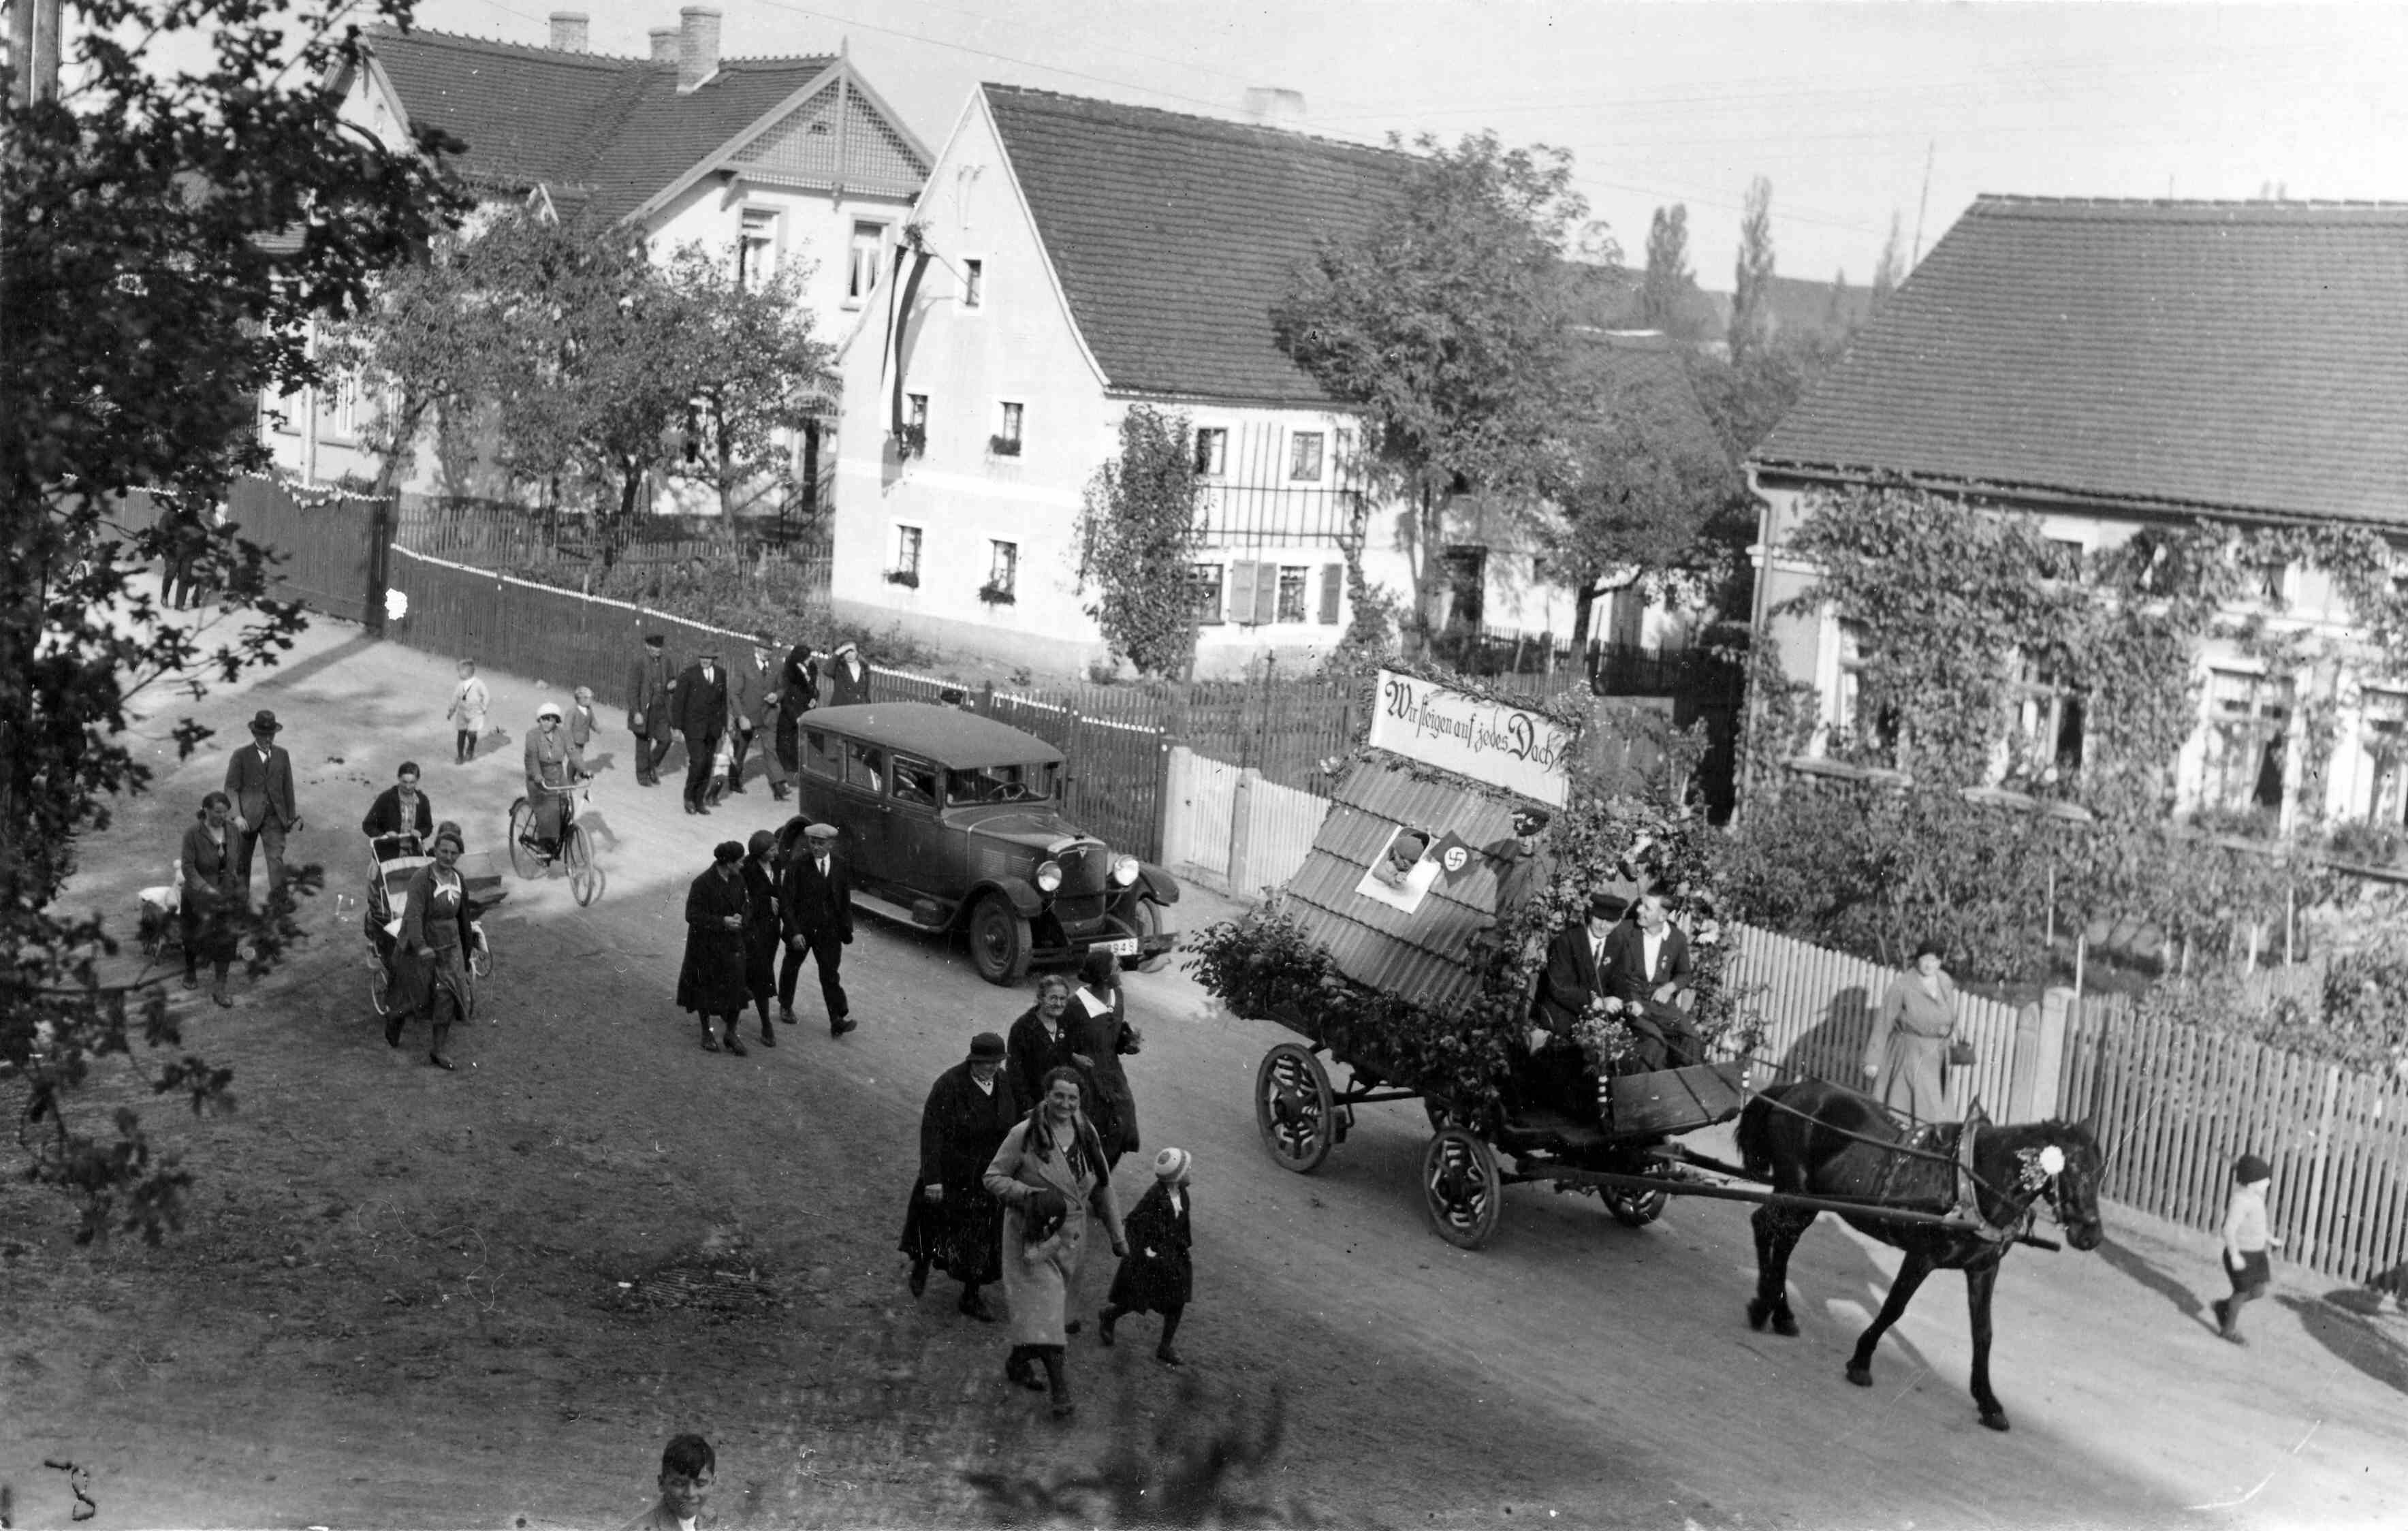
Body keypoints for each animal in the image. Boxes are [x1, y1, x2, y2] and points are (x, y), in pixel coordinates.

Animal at [1733, 1078, 2109, 1434]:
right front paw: (1861, 1361)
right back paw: (1763, 1305)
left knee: (1781, 1240)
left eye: (2100, 1171)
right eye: (2071, 1167)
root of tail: (1796, 1087)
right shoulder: (1921, 1256)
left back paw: (1780, 1313)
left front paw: (1988, 1402)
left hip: (1808, 1201)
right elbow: (1894, 1308)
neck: (1974, 1181)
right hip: (1793, 1189)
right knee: (1765, 1226)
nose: (2090, 1236)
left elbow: (1983, 1333)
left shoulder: (1984, 1268)